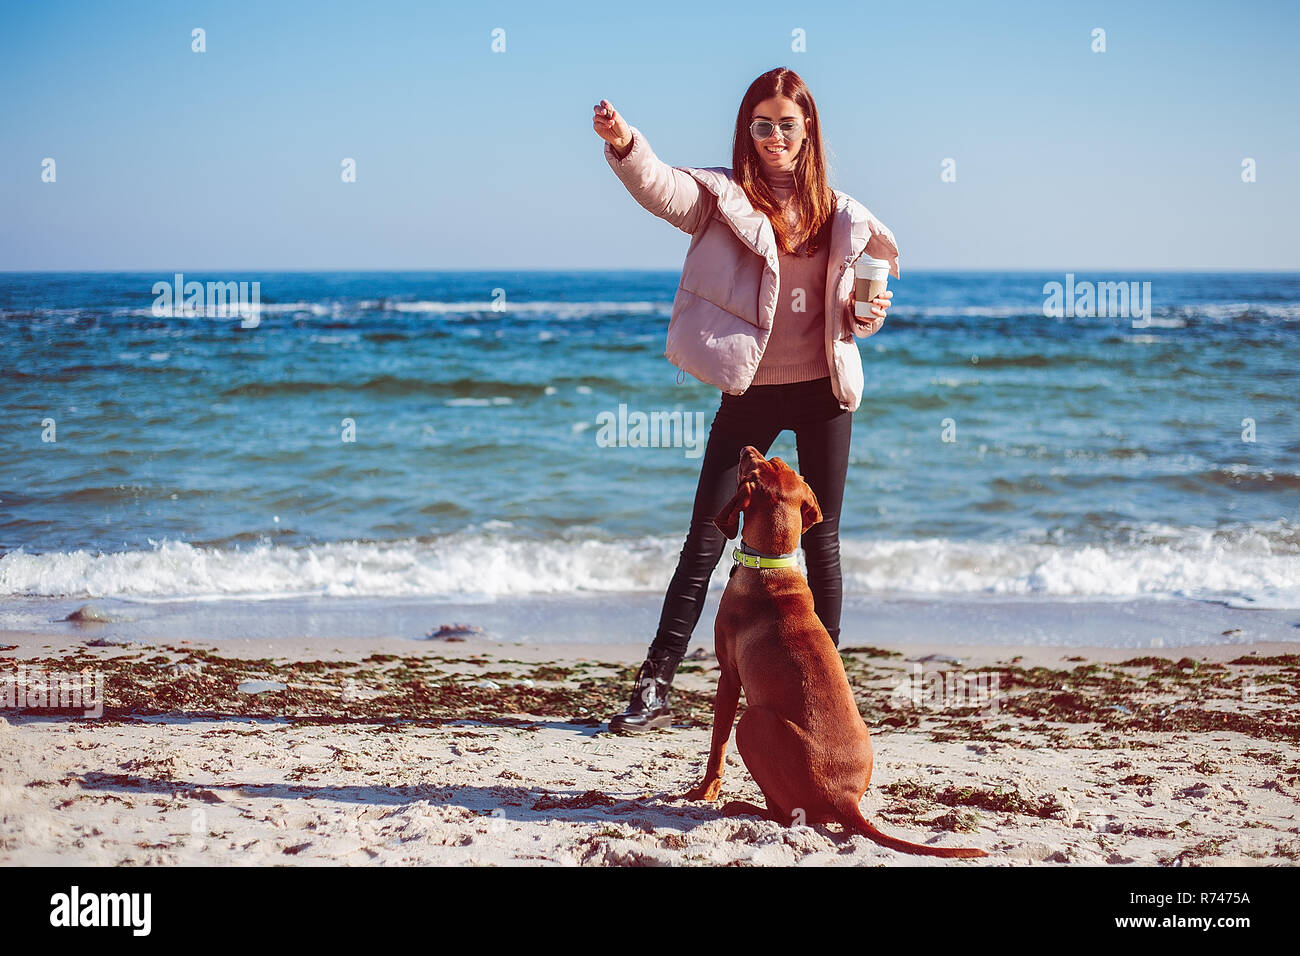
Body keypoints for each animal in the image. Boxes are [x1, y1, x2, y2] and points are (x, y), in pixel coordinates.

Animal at [681, 447, 982, 858]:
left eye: (758, 465)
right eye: (778, 463)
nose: (745, 449)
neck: (771, 565)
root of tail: (845, 800)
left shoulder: (728, 676)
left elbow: (717, 746)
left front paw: (704, 791)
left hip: (753, 721)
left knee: (786, 814)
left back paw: (744, 806)